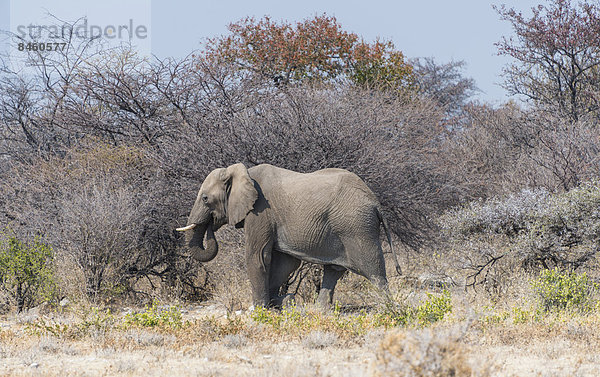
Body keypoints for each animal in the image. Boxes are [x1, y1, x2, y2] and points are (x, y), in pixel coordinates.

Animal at [177, 163, 404, 306]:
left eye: (205, 199)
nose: (210, 225)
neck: (243, 173)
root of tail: (375, 202)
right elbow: (285, 263)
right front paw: (280, 302)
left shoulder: (260, 212)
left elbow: (258, 257)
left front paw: (259, 309)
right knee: (333, 270)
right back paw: (319, 312)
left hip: (357, 227)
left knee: (374, 271)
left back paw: (387, 309)